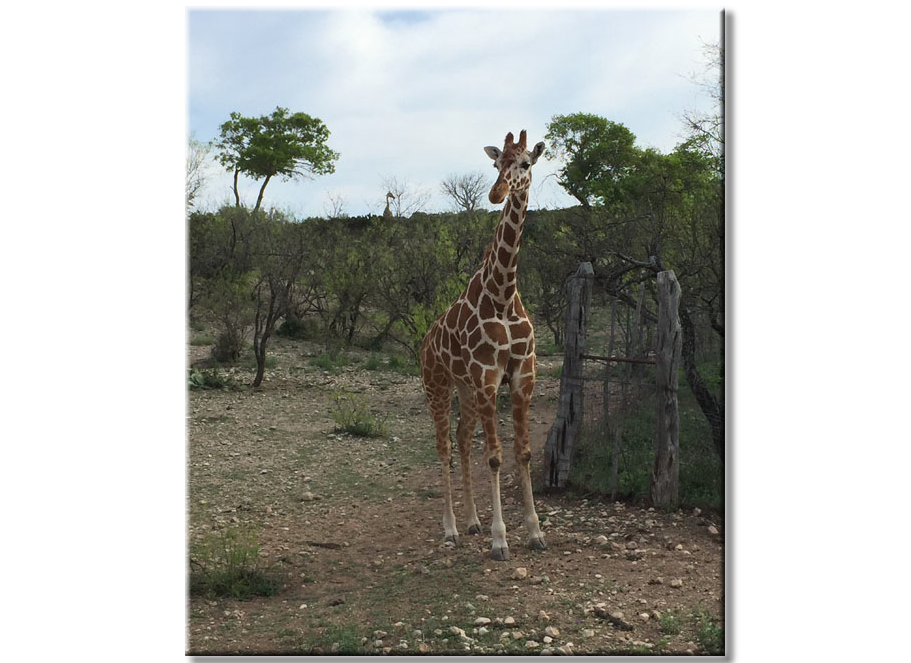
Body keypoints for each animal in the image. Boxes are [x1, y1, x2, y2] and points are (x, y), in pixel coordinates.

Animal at [420, 129, 546, 561]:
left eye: (525, 162)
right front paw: (499, 539)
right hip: (438, 386)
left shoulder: (522, 376)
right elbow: (494, 457)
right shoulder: (489, 377)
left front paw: (535, 532)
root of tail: (425, 341)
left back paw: (472, 521)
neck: (503, 292)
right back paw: (450, 529)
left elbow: (522, 453)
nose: (496, 192)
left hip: (466, 389)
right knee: (443, 445)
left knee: (461, 440)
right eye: (495, 163)